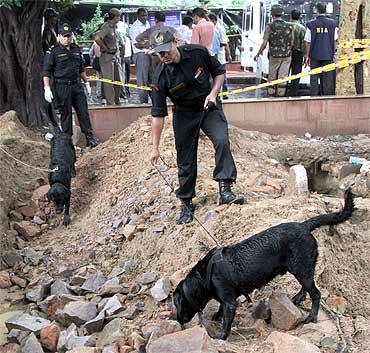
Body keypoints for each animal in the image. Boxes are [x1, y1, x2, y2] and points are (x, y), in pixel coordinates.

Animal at [173, 188, 352, 340]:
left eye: (177, 304)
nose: (179, 322)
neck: (205, 275)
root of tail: (303, 225)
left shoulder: (230, 302)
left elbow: (226, 321)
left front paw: (221, 337)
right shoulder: (225, 299)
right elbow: (220, 308)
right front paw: (217, 316)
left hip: (302, 269)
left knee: (316, 294)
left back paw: (312, 317)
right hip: (303, 269)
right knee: (308, 287)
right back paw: (299, 297)